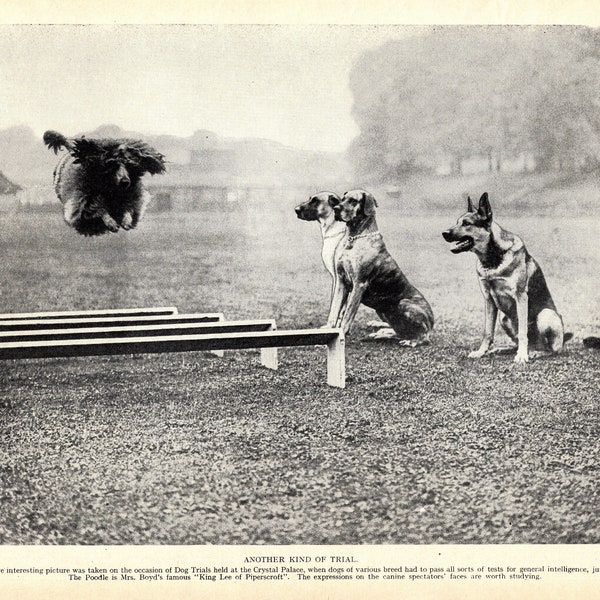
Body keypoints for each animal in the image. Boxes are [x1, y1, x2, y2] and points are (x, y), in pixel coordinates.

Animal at [326, 190, 434, 344]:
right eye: (343, 198)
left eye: (353, 201)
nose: (336, 209)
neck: (353, 238)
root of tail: (432, 324)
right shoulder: (341, 282)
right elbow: (334, 312)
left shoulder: (359, 284)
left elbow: (347, 316)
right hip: (383, 311)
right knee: (400, 332)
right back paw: (380, 334)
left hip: (404, 304)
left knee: (423, 337)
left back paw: (411, 341)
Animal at [442, 193, 568, 360]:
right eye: (457, 222)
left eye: (466, 223)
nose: (444, 233)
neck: (493, 258)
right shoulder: (489, 299)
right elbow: (488, 332)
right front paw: (481, 352)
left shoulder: (521, 297)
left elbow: (523, 332)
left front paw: (522, 357)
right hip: (504, 318)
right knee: (518, 343)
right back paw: (502, 349)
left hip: (546, 315)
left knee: (550, 349)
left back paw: (534, 353)